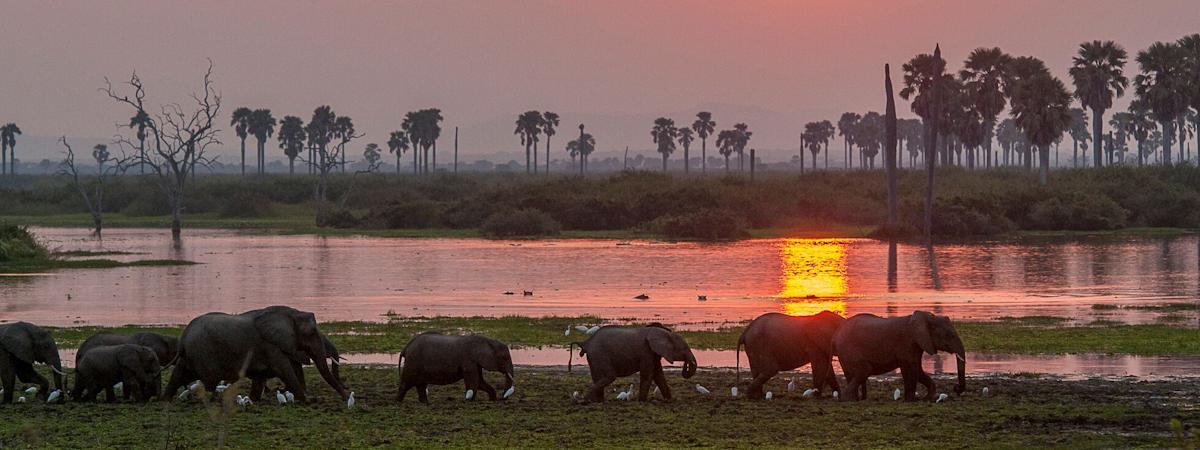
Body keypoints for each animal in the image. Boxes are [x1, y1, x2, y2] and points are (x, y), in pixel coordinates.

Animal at [163, 307, 348, 405]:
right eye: (312, 333)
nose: (346, 396)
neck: (292, 313)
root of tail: (184, 336)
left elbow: (261, 377)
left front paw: (253, 400)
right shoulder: (271, 345)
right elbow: (285, 370)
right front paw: (306, 401)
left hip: (190, 355)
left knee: (178, 374)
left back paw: (164, 400)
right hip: (203, 353)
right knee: (209, 382)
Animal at [568, 321, 700, 403]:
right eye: (684, 349)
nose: (687, 364)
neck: (664, 333)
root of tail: (586, 342)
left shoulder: (653, 353)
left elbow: (659, 375)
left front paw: (669, 400)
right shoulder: (646, 351)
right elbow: (648, 375)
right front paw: (642, 401)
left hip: (595, 357)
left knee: (598, 377)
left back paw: (598, 401)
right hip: (599, 355)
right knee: (609, 376)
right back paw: (584, 400)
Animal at [830, 312, 969, 403]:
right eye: (948, 335)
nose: (956, 388)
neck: (927, 317)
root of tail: (837, 333)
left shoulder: (916, 344)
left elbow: (918, 370)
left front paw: (927, 398)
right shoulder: (907, 343)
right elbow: (910, 369)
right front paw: (911, 401)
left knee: (852, 373)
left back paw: (853, 399)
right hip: (849, 350)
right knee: (863, 371)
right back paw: (847, 399)